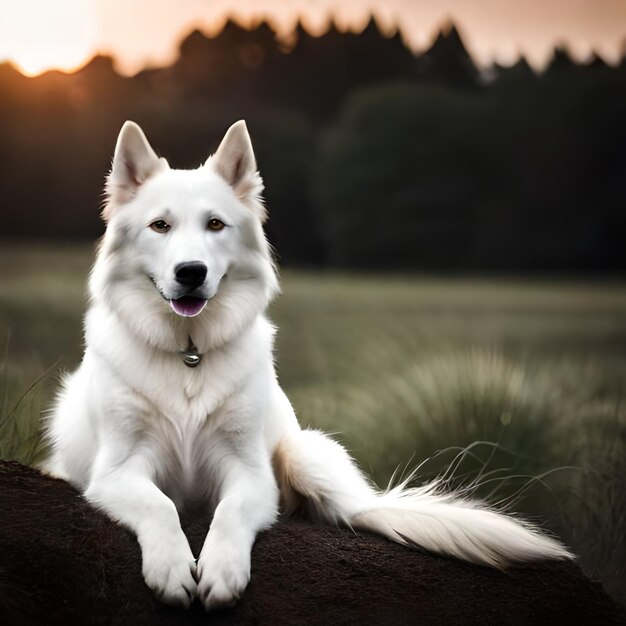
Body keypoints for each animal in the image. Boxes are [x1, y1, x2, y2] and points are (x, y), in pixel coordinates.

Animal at [42, 119, 572, 608]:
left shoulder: (251, 475)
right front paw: (173, 566)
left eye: (215, 225)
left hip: (303, 452)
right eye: (160, 226)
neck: (189, 354)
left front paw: (221, 569)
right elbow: (160, 506)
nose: (190, 273)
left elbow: (229, 513)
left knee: (358, 511)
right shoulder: (117, 472)